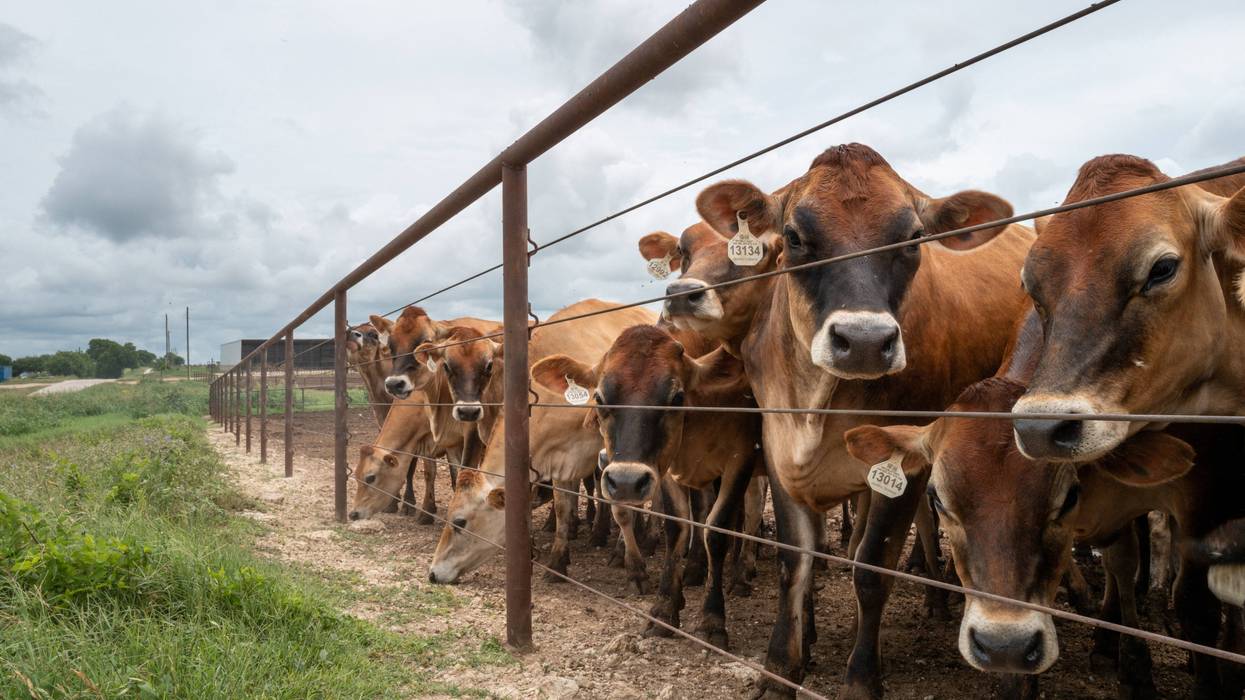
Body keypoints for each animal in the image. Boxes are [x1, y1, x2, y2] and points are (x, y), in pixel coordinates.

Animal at [428, 299, 655, 584]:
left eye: (460, 521)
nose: (433, 572)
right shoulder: (560, 457)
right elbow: (562, 507)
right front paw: (557, 560)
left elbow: (620, 505)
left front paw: (633, 565)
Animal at [531, 323, 762, 649]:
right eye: (600, 398)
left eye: (676, 397)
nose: (626, 481)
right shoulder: (666, 468)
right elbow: (677, 526)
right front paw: (665, 608)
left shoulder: (740, 459)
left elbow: (716, 531)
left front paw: (712, 620)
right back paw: (693, 571)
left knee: (752, 513)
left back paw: (741, 573)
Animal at [692, 143, 1034, 698]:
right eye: (793, 237)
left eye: (913, 238)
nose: (866, 341)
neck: (816, 404)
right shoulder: (780, 449)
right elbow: (794, 561)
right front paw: (782, 667)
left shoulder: (907, 466)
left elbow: (872, 570)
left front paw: (860, 677)